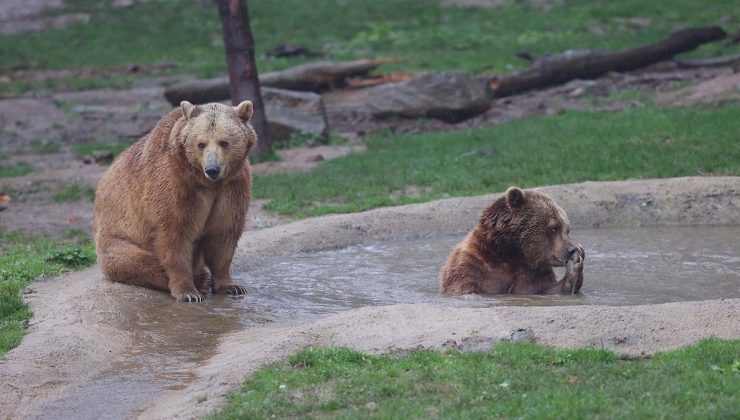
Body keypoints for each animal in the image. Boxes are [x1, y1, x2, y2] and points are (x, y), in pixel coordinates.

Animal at [92, 99, 258, 302]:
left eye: (224, 142)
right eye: (201, 144)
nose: (212, 169)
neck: (205, 182)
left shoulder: (232, 186)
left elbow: (223, 233)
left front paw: (231, 286)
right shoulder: (174, 183)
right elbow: (175, 233)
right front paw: (188, 292)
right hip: (117, 239)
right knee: (138, 261)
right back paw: (200, 279)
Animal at [440, 187, 584, 296]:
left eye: (567, 229)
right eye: (554, 228)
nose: (572, 249)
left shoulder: (533, 274)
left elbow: (547, 289)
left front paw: (575, 267)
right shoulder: (472, 267)